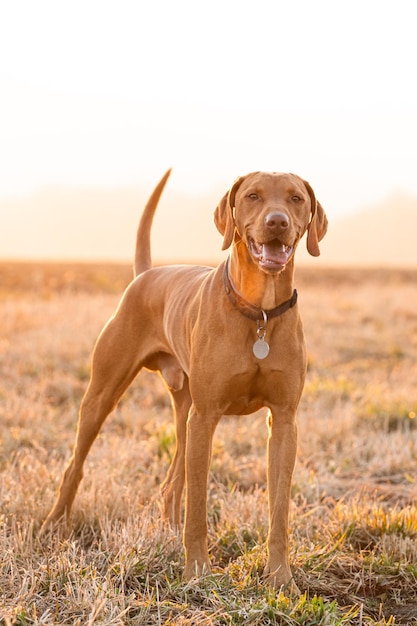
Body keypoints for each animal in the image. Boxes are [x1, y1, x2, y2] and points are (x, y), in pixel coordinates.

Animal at [42, 168, 328, 588]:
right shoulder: (206, 418)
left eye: (296, 198)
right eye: (254, 196)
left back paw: (167, 528)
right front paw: (196, 571)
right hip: (103, 397)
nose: (277, 222)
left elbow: (279, 511)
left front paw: (280, 576)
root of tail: (147, 274)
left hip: (184, 412)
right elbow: (198, 506)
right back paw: (55, 523)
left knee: (172, 479)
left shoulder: (284, 422)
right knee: (75, 466)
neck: (259, 312)